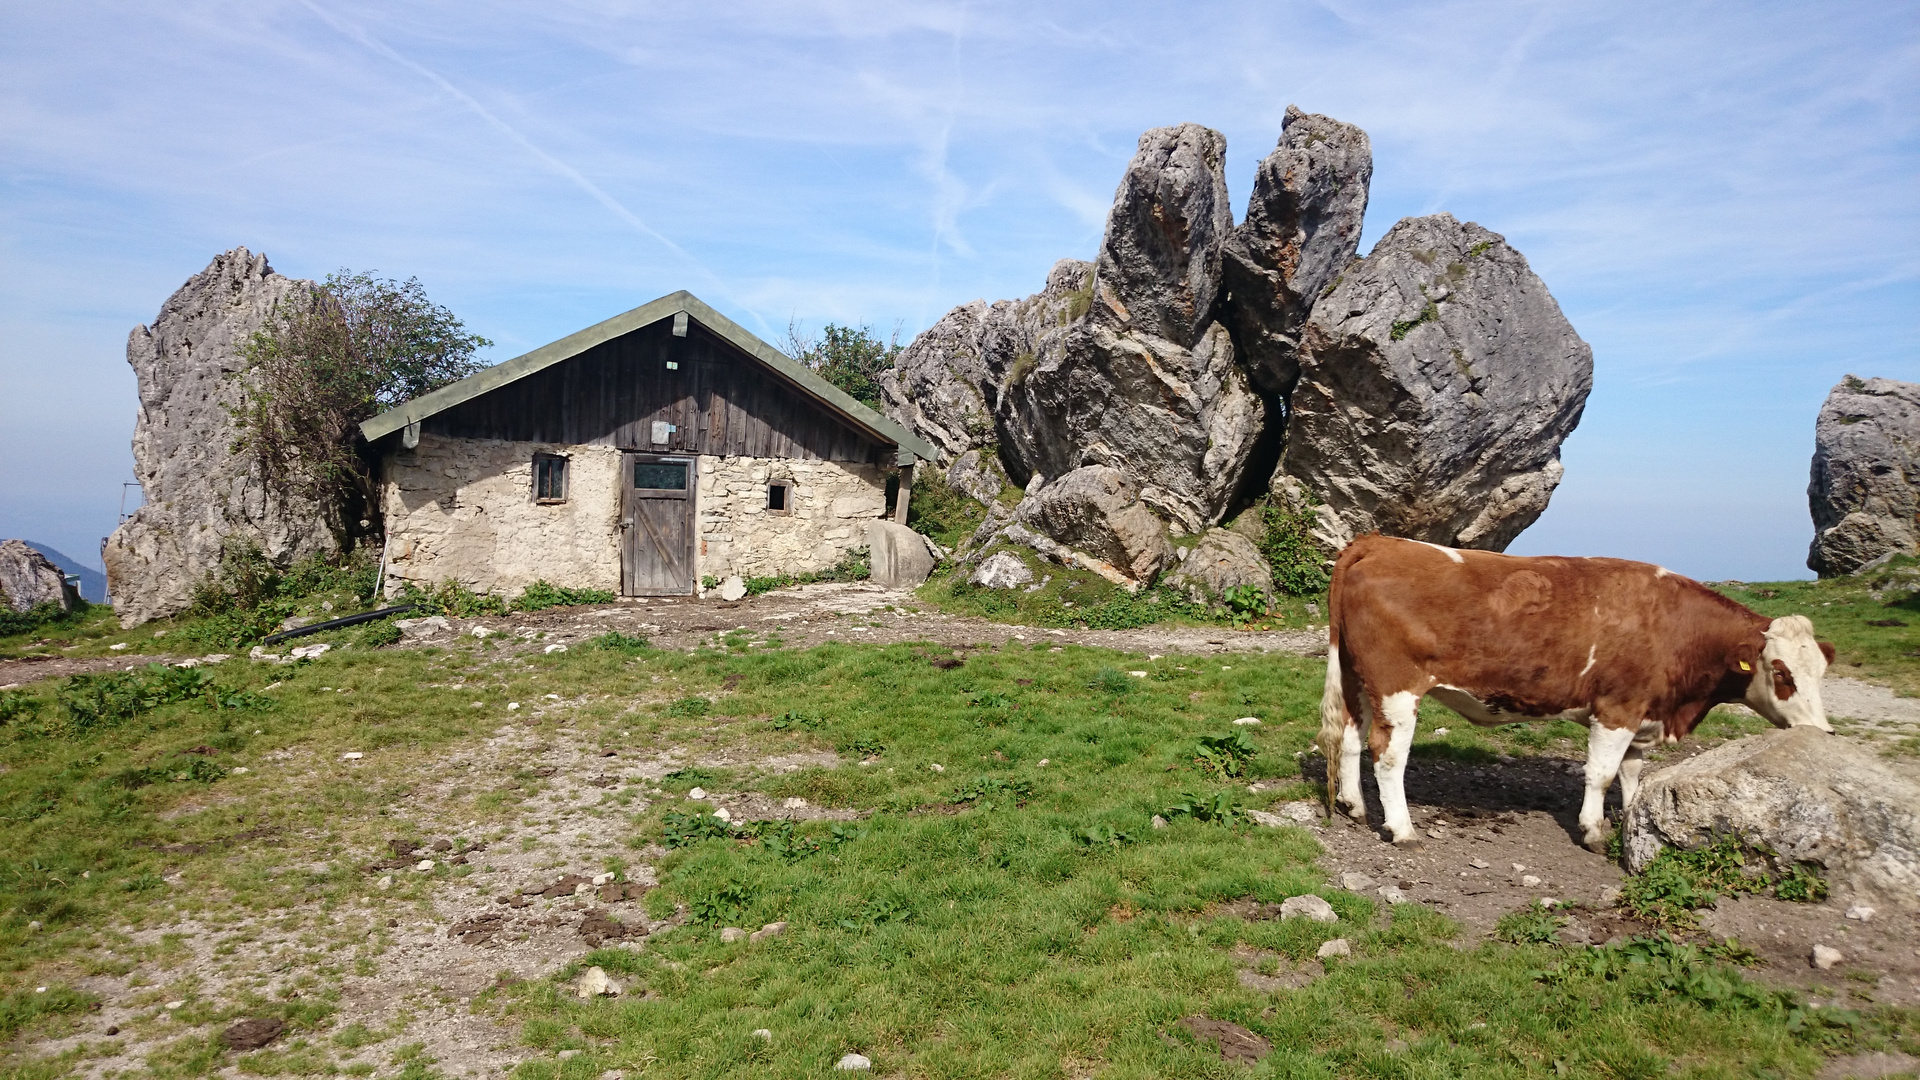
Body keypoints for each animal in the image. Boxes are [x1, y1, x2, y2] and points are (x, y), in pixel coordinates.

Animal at [1320, 534, 1827, 845]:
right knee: (1387, 754)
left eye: (1821, 671)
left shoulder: (1641, 714)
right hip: (1397, 688)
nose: (1822, 733)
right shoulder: (1617, 709)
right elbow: (1601, 774)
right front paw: (1593, 830)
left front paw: (1630, 818)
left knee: (1350, 736)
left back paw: (1353, 805)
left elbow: (1631, 774)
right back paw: (1401, 829)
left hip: (1356, 678)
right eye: (1781, 672)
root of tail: (1379, 542)